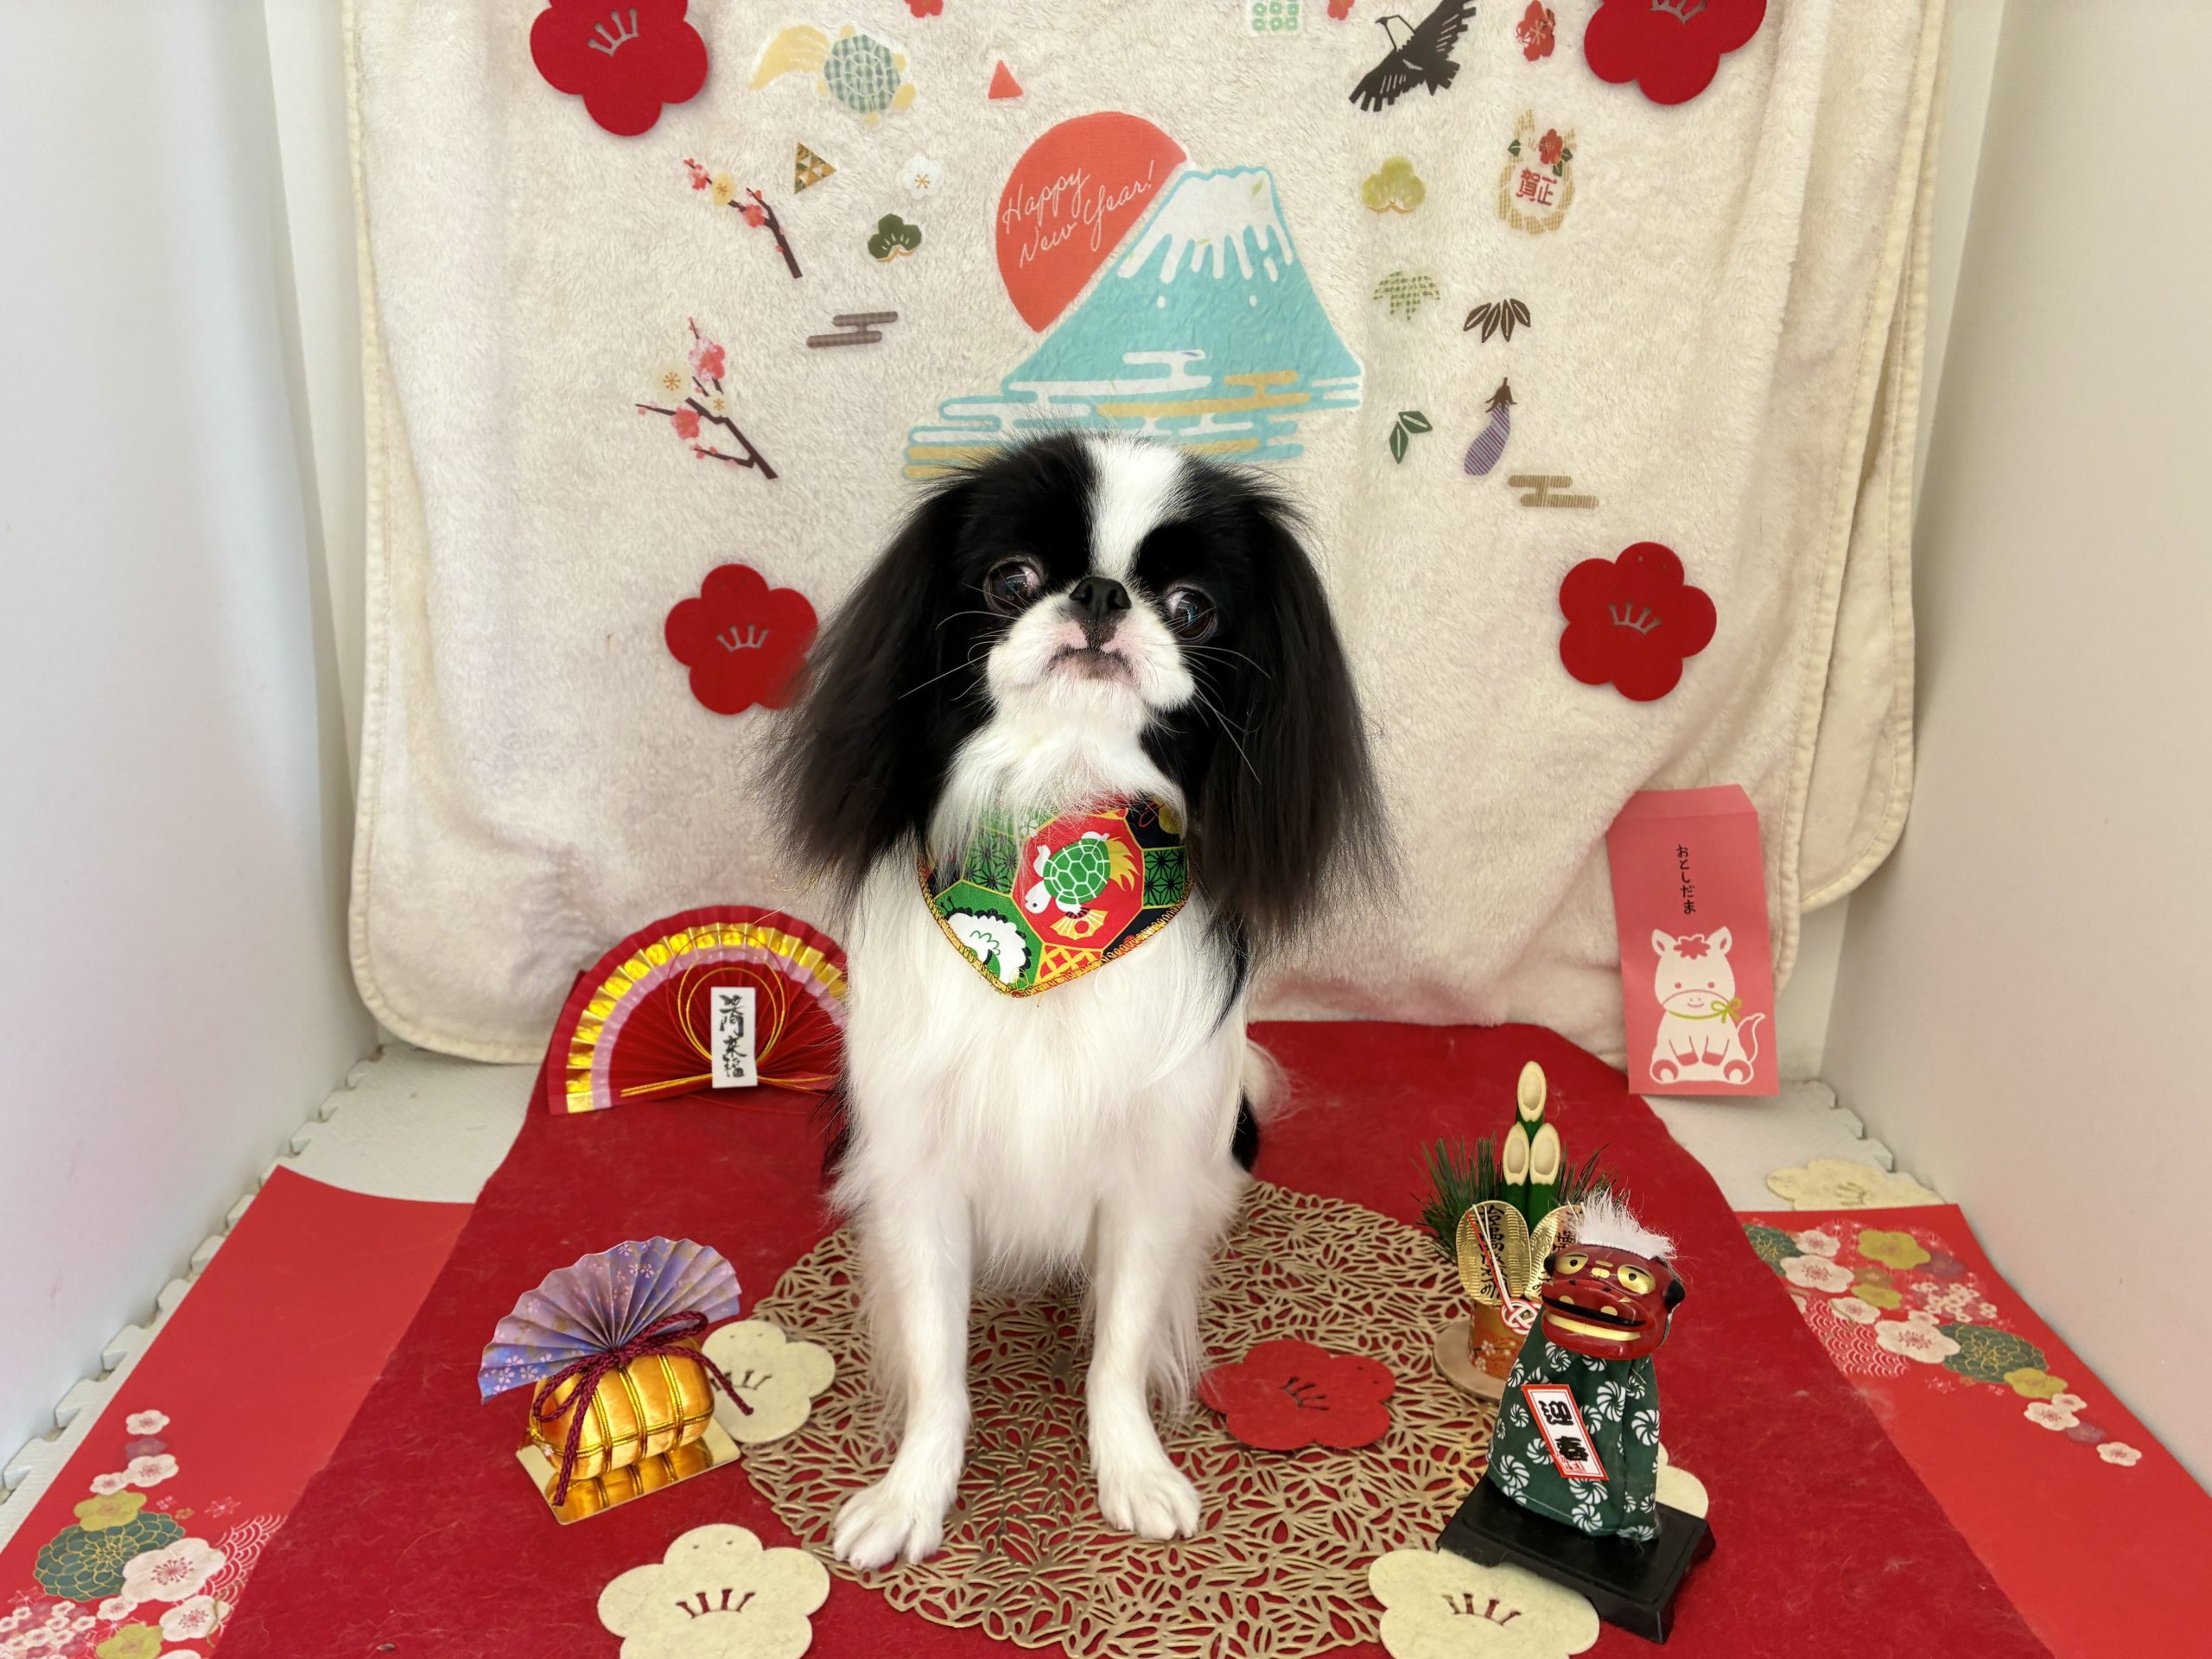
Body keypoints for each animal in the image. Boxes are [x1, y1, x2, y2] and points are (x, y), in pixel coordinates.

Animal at [771, 434, 1385, 1567]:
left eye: (1190, 605)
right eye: (1011, 579)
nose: (1100, 593)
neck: (1059, 832)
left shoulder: (1147, 1176)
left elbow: (1120, 1350)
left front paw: (1131, 1468)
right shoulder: (922, 1171)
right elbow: (938, 1364)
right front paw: (913, 1495)